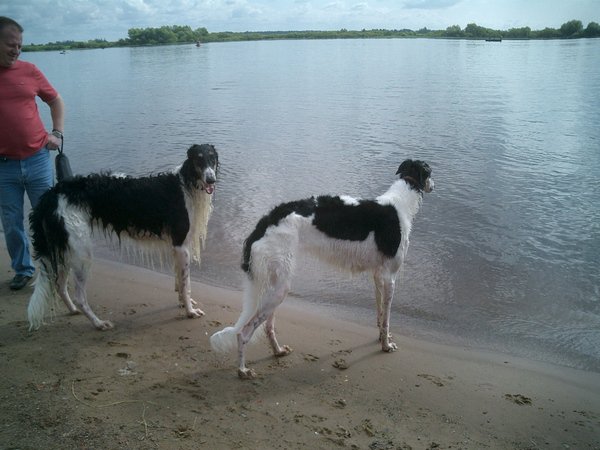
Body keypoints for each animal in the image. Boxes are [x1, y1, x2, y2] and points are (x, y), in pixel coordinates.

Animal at [27, 144, 219, 330]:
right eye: (198, 159)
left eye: (212, 158)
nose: (211, 180)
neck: (186, 183)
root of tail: (52, 194)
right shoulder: (181, 245)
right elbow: (186, 284)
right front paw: (190, 311)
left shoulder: (177, 247)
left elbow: (179, 280)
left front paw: (183, 303)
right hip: (81, 253)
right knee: (79, 297)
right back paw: (98, 323)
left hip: (65, 250)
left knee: (59, 285)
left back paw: (73, 310)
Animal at [211, 159, 433, 378]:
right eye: (430, 172)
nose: (433, 186)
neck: (401, 202)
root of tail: (265, 222)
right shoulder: (390, 277)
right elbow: (386, 318)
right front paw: (386, 345)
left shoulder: (378, 276)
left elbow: (380, 312)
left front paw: (380, 337)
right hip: (278, 288)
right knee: (243, 333)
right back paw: (242, 370)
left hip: (275, 286)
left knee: (267, 326)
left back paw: (278, 351)